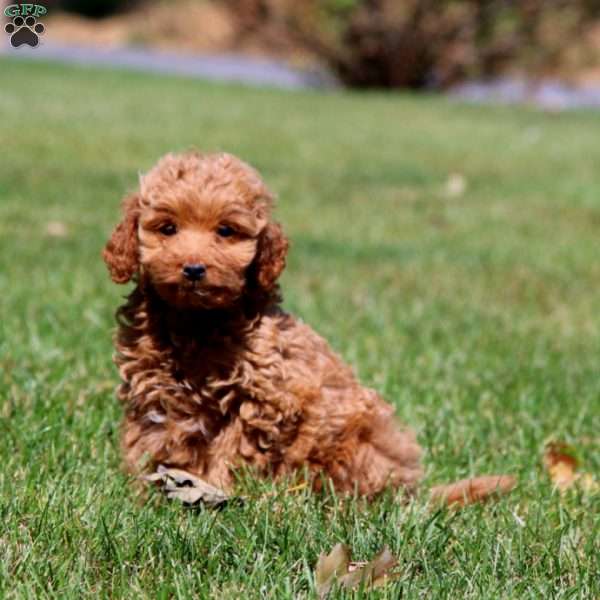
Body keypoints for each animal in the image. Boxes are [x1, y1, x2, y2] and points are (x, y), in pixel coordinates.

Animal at [104, 151, 516, 502]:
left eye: (226, 231)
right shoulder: (154, 390)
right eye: (168, 228)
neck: (196, 323)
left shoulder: (261, 400)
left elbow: (229, 453)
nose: (193, 269)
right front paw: (139, 497)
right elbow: (148, 442)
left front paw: (213, 492)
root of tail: (411, 493)